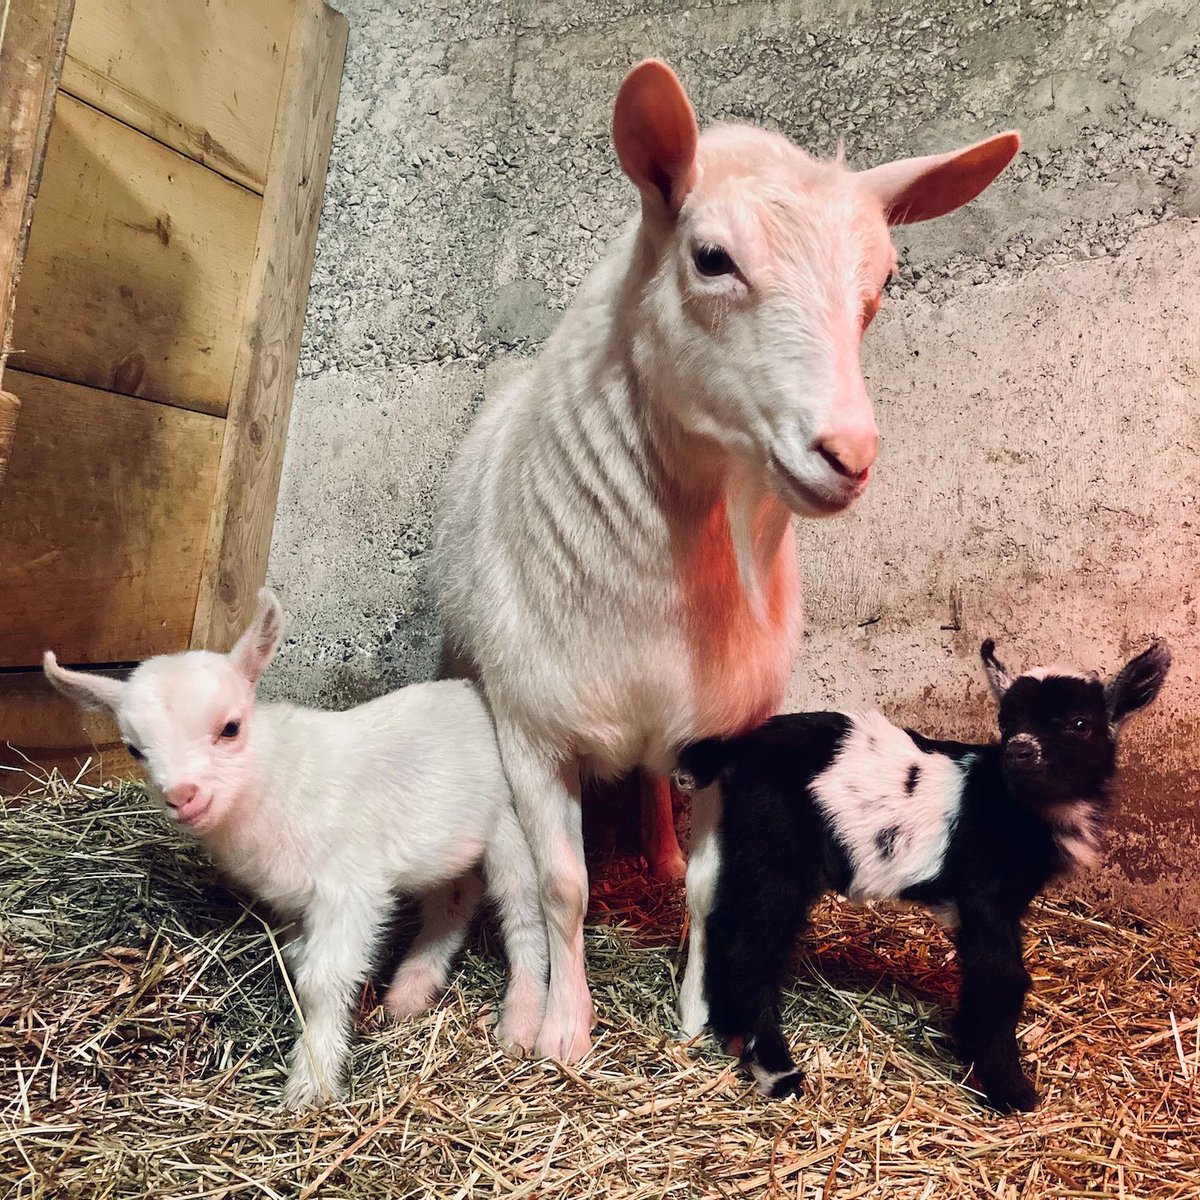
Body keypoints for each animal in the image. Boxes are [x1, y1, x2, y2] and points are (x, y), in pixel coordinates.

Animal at [43, 590, 548, 1108]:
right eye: (134, 750)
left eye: (230, 727)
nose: (183, 797)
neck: (273, 779)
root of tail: (474, 691)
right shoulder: (289, 898)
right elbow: (297, 960)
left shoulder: (349, 886)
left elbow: (321, 981)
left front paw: (312, 1083)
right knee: (456, 897)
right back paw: (411, 990)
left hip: (511, 826)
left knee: (525, 916)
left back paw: (521, 1023)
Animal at [431, 56, 1020, 1061]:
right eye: (711, 258)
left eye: (884, 281)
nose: (849, 454)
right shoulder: (532, 728)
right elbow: (561, 887)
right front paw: (565, 1032)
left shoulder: (728, 735)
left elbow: (715, 889)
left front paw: (704, 1013)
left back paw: (661, 851)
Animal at [672, 639, 1170, 1111]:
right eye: (1006, 721)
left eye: (1079, 724)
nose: (1020, 752)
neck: (1014, 805)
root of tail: (741, 747)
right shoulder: (984, 892)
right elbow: (1002, 978)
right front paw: (1010, 1089)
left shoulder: (990, 905)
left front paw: (969, 1043)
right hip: (776, 848)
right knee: (751, 947)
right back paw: (776, 1070)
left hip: (747, 847)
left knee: (724, 922)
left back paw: (727, 1030)